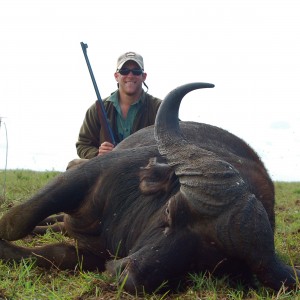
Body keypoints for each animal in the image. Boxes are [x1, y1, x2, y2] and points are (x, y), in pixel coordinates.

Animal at [0, 82, 300, 292]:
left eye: (212, 264)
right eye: (170, 212)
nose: (126, 276)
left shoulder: (95, 255)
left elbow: (56, 253)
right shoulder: (88, 174)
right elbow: (16, 220)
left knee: (59, 226)